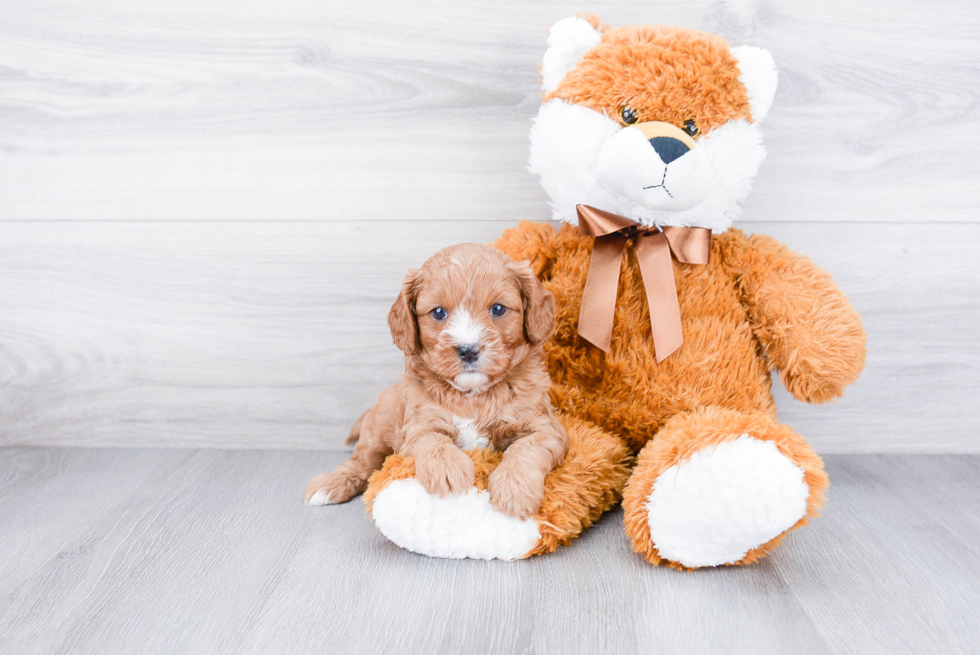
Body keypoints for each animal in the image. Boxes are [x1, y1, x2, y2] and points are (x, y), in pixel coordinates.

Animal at [304, 243, 568, 520]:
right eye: (439, 312)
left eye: (498, 309)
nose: (468, 350)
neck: (473, 395)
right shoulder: (418, 425)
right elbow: (433, 440)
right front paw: (448, 471)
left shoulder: (546, 426)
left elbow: (526, 448)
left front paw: (514, 490)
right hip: (377, 428)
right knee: (362, 463)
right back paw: (330, 485)